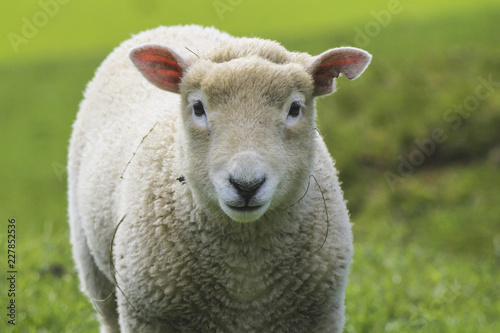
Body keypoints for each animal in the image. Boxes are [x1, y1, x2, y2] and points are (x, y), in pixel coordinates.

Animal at [67, 24, 372, 332]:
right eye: (198, 108)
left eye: (295, 108)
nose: (246, 185)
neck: (246, 264)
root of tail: (170, 26)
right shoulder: (147, 316)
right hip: (94, 269)